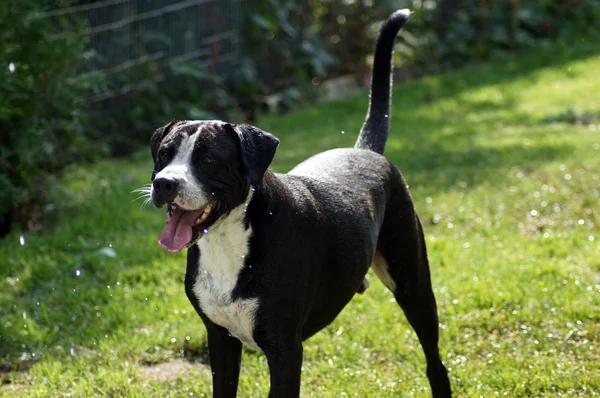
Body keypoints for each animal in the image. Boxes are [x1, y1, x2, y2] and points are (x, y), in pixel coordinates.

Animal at [146, 9, 450, 398]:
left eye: (209, 159)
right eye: (164, 154)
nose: (164, 183)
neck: (230, 241)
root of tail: (366, 151)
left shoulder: (285, 349)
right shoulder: (220, 340)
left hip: (413, 286)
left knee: (434, 362)